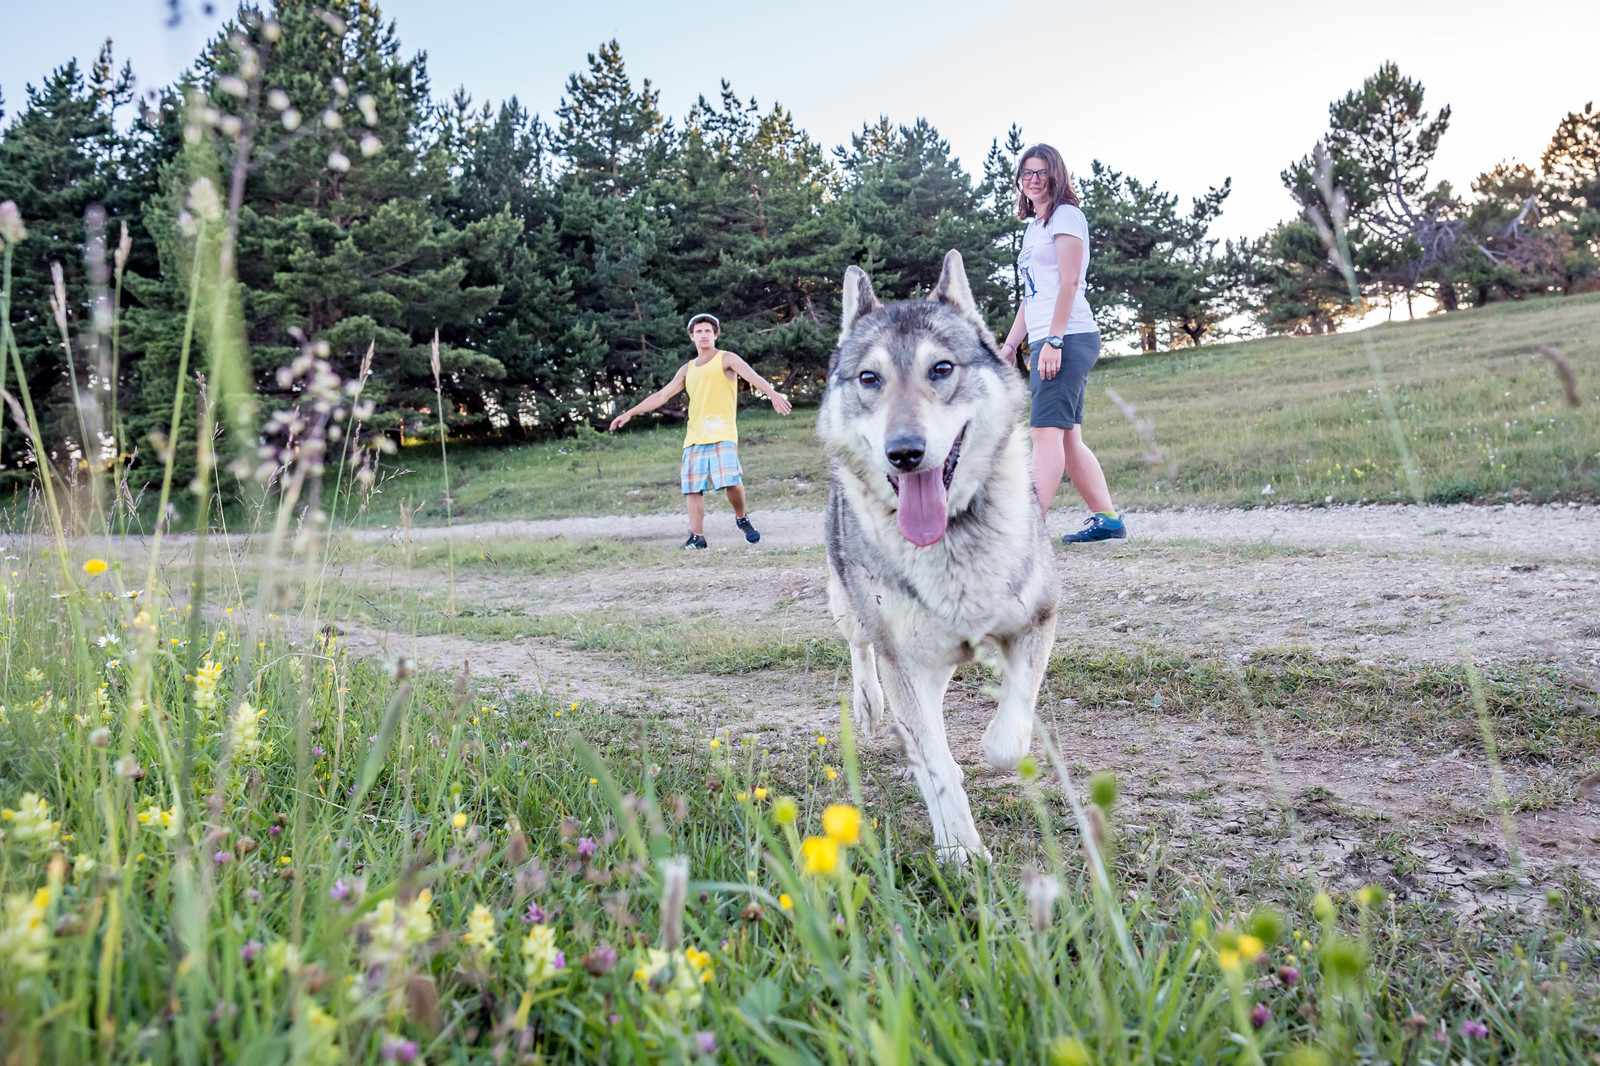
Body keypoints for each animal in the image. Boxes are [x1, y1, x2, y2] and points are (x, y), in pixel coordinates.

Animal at [819, 251, 1056, 864]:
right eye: (870, 379)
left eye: (942, 369)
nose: (904, 453)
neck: (950, 538)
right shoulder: (903, 659)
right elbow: (936, 763)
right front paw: (960, 849)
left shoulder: (1039, 620)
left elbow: (1007, 735)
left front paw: (993, 753)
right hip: (853, 611)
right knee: (862, 653)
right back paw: (870, 707)